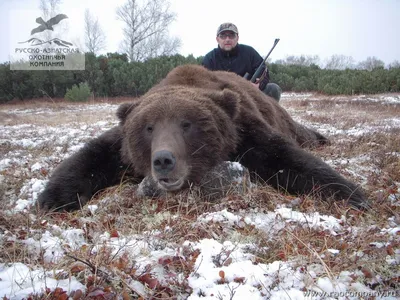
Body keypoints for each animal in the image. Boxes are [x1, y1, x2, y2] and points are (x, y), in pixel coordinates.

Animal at [37, 64, 368, 212]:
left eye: (187, 124)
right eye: (148, 127)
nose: (164, 160)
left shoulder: (243, 130)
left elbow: (283, 157)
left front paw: (351, 194)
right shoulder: (121, 145)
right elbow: (93, 156)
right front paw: (51, 198)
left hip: (283, 118)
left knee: (302, 133)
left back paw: (322, 138)